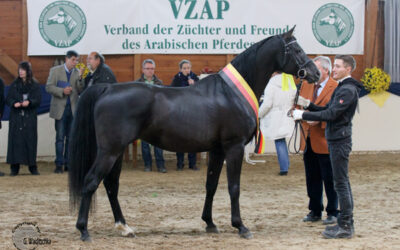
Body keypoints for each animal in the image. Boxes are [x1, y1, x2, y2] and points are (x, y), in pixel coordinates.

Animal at [68, 26, 318, 240]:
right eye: (296, 49)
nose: (314, 73)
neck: (230, 93)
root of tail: (107, 88)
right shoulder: (234, 147)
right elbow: (233, 187)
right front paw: (240, 226)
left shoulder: (217, 150)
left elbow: (211, 185)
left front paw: (210, 223)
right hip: (109, 151)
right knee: (91, 181)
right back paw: (83, 230)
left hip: (116, 152)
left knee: (111, 185)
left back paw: (124, 227)